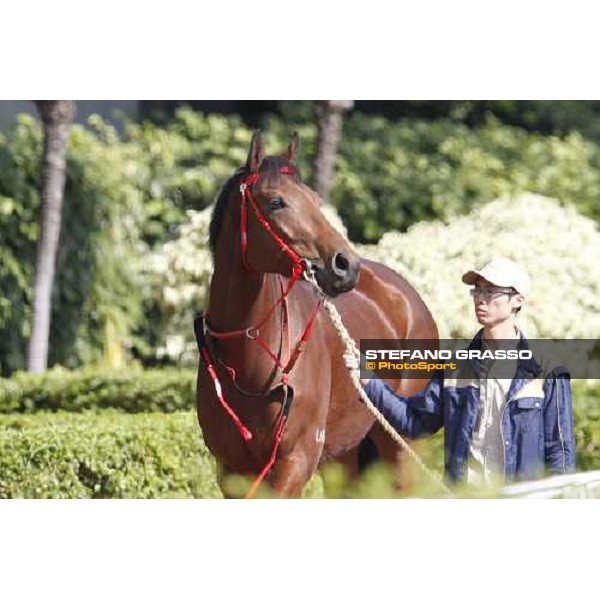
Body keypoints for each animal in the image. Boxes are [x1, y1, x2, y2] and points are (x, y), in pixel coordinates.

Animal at [197, 131, 436, 496]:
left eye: (313, 198)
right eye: (276, 202)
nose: (346, 264)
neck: (249, 362)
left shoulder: (295, 462)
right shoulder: (230, 471)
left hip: (400, 445)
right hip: (345, 456)